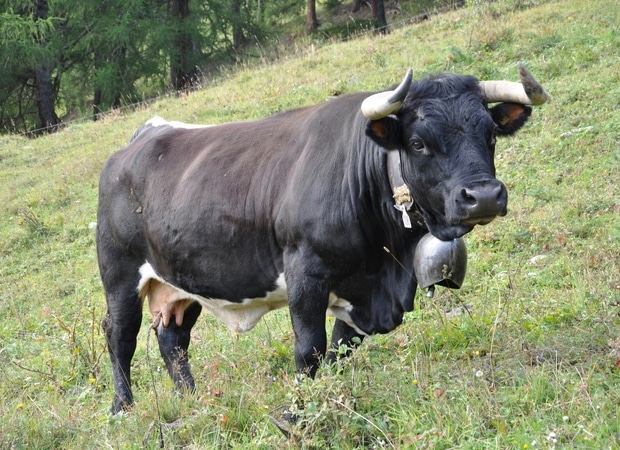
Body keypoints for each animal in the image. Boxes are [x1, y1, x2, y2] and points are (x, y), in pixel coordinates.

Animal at [97, 63, 548, 414]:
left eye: (491, 135)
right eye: (419, 143)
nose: (483, 196)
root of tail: (143, 137)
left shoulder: (359, 289)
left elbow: (340, 352)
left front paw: (331, 401)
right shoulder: (306, 274)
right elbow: (309, 350)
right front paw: (299, 412)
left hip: (182, 279)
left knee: (173, 338)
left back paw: (192, 400)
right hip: (119, 275)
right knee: (120, 336)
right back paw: (123, 408)